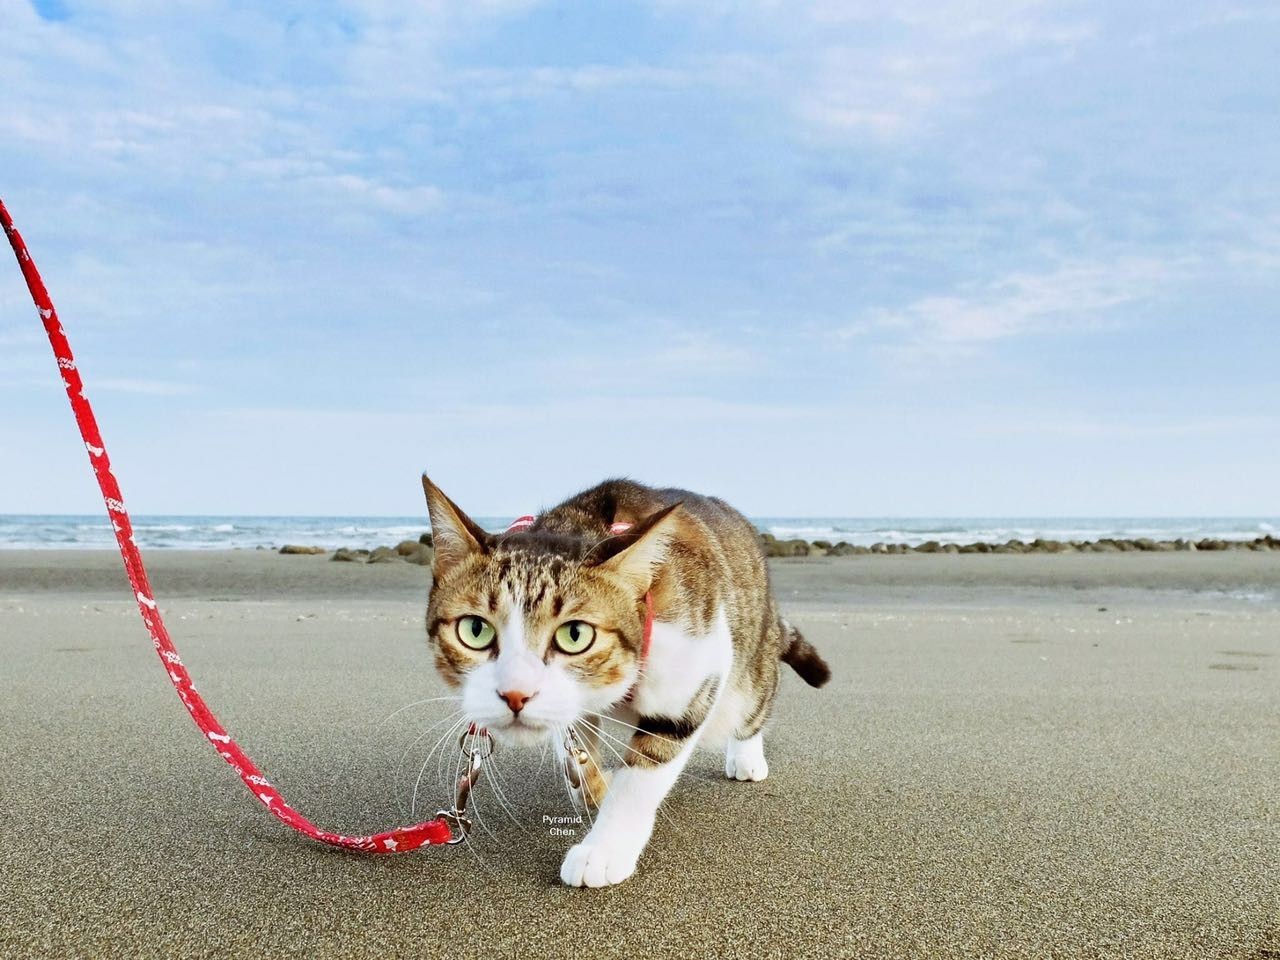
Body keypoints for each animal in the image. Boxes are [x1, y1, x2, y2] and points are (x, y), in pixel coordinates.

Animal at [419, 478, 829, 890]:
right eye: (475, 629)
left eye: (575, 635)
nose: (516, 694)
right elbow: (575, 746)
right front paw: (593, 785)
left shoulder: (694, 670)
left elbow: (641, 777)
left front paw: (603, 848)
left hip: (748, 660)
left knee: (753, 702)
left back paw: (746, 756)